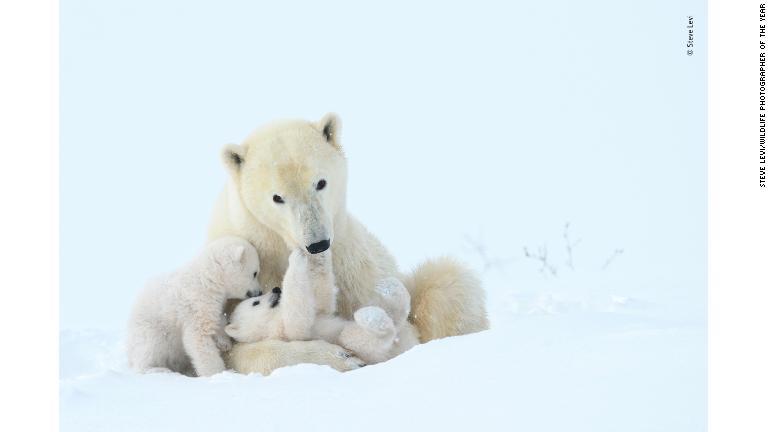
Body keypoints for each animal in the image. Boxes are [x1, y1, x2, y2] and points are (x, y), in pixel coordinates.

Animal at [124, 236, 260, 374]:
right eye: (255, 273)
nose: (259, 292)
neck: (208, 278)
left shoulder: (212, 303)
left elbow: (217, 319)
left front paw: (224, 342)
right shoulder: (196, 303)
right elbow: (198, 338)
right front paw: (218, 372)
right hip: (150, 328)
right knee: (150, 348)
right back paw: (157, 369)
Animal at [225, 250, 416, 364]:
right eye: (255, 302)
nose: (276, 289)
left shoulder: (319, 311)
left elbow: (322, 300)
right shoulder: (282, 332)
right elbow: (297, 318)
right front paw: (295, 258)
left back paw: (390, 287)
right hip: (359, 348)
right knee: (358, 338)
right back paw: (371, 317)